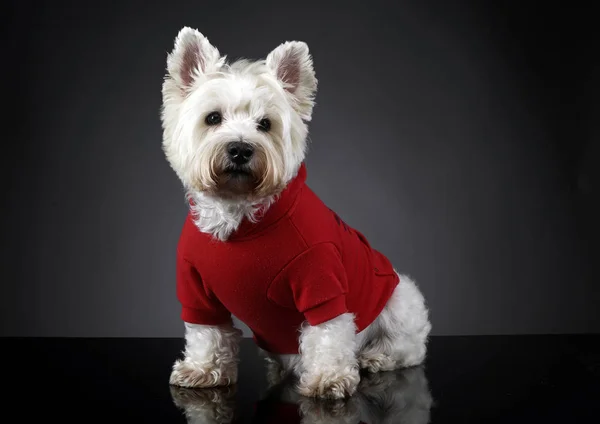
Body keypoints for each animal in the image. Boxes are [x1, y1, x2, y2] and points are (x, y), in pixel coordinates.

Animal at [161, 27, 432, 400]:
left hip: (398, 297)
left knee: (408, 347)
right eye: (212, 118)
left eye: (265, 124)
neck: (239, 216)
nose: (240, 149)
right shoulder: (195, 287)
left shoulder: (321, 278)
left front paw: (329, 378)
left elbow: (328, 332)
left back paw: (376, 357)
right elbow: (207, 333)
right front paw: (203, 369)